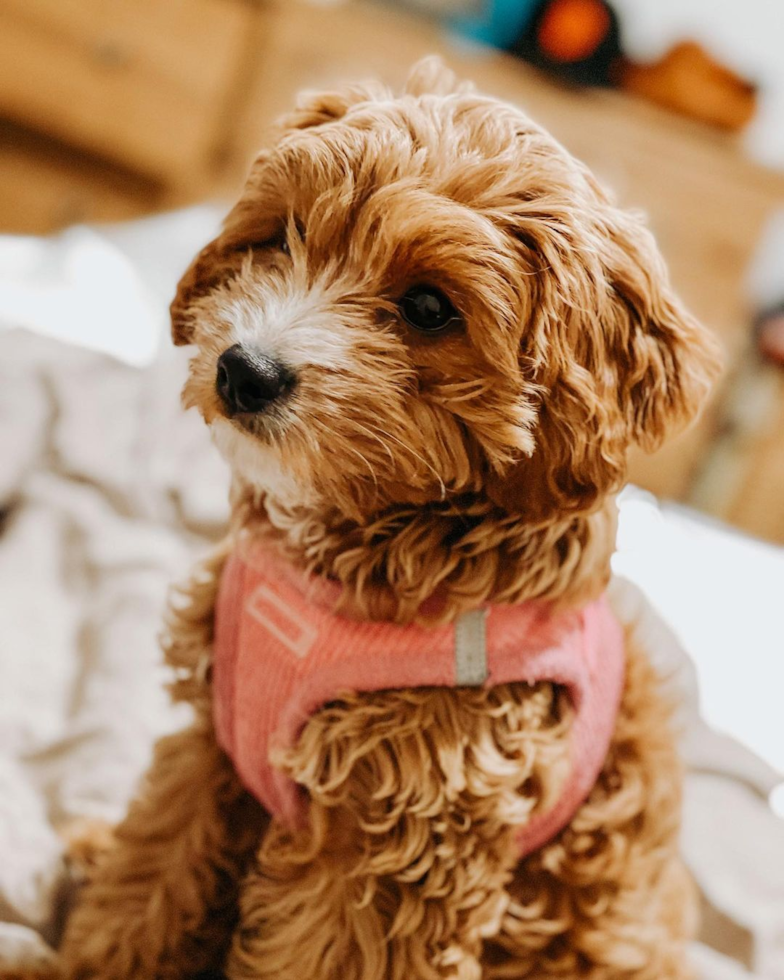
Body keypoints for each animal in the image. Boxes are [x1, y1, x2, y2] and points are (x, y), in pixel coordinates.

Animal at [46, 59, 720, 980]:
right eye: (285, 235)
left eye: (430, 308)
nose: (244, 371)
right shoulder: (214, 741)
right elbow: (151, 872)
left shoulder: (398, 844)